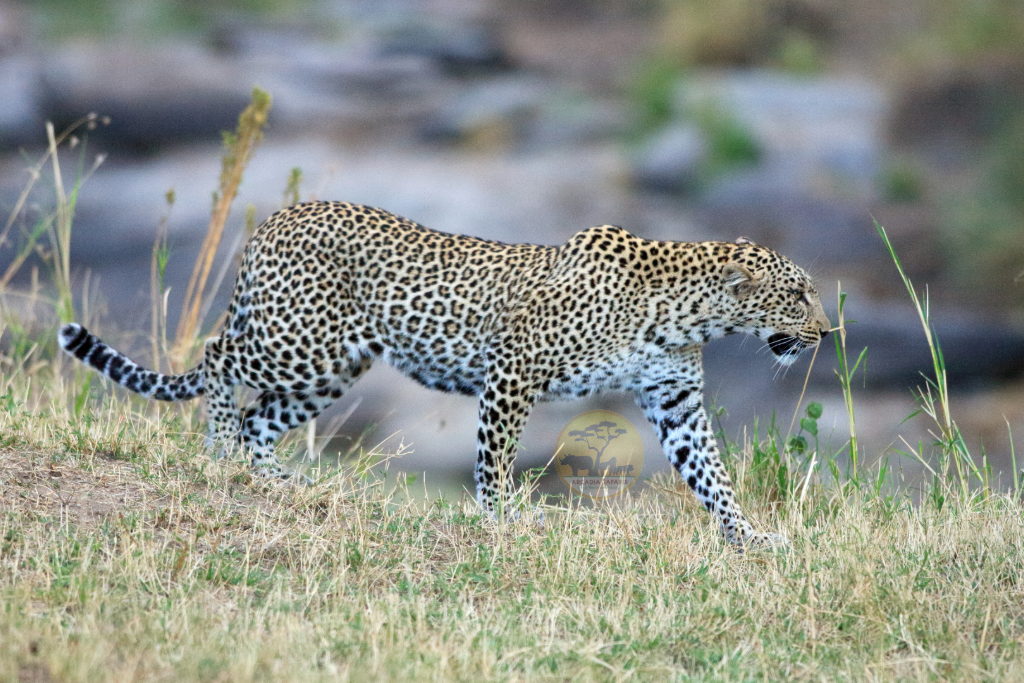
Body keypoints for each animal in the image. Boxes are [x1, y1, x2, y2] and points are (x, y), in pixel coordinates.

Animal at [59, 200, 831, 548]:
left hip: (333, 365)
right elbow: (495, 457)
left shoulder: (675, 402)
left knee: (261, 416)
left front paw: (751, 538)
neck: (690, 314)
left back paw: (274, 479)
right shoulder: (515, 370)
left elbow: (713, 477)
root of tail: (279, 216)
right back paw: (219, 451)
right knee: (221, 363)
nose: (828, 332)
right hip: (298, 339)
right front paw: (503, 519)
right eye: (798, 295)